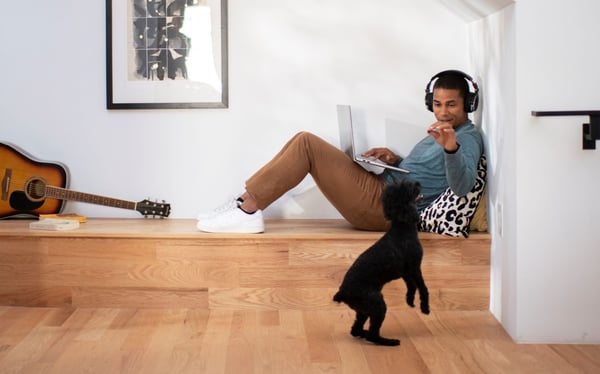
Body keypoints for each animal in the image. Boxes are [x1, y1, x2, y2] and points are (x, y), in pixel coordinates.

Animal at [332, 180, 426, 346]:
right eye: (409, 188)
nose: (418, 182)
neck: (402, 227)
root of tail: (342, 293)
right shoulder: (415, 267)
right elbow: (422, 287)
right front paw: (425, 307)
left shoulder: (405, 272)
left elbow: (411, 286)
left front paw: (410, 300)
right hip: (376, 304)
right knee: (372, 335)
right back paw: (388, 341)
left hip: (363, 309)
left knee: (355, 329)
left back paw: (363, 333)